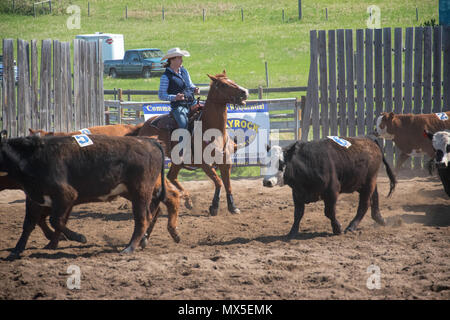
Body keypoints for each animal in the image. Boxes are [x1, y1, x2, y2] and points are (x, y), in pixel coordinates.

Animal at [0, 132, 172, 260]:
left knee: (143, 218)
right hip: (132, 192)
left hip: (140, 191)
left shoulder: (66, 195)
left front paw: (79, 237)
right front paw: (16, 251)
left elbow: (56, 220)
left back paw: (129, 248)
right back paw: (143, 240)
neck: (33, 157)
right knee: (152, 211)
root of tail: (149, 141)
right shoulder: (34, 197)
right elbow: (29, 224)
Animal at [139, 70, 248, 215]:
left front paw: (232, 207)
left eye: (233, 81)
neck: (213, 131)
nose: (245, 92)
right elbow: (218, 182)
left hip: (176, 161)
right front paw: (214, 206)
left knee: (171, 176)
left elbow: (228, 185)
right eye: (224, 85)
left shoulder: (225, 163)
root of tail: (144, 125)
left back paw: (188, 200)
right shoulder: (205, 164)